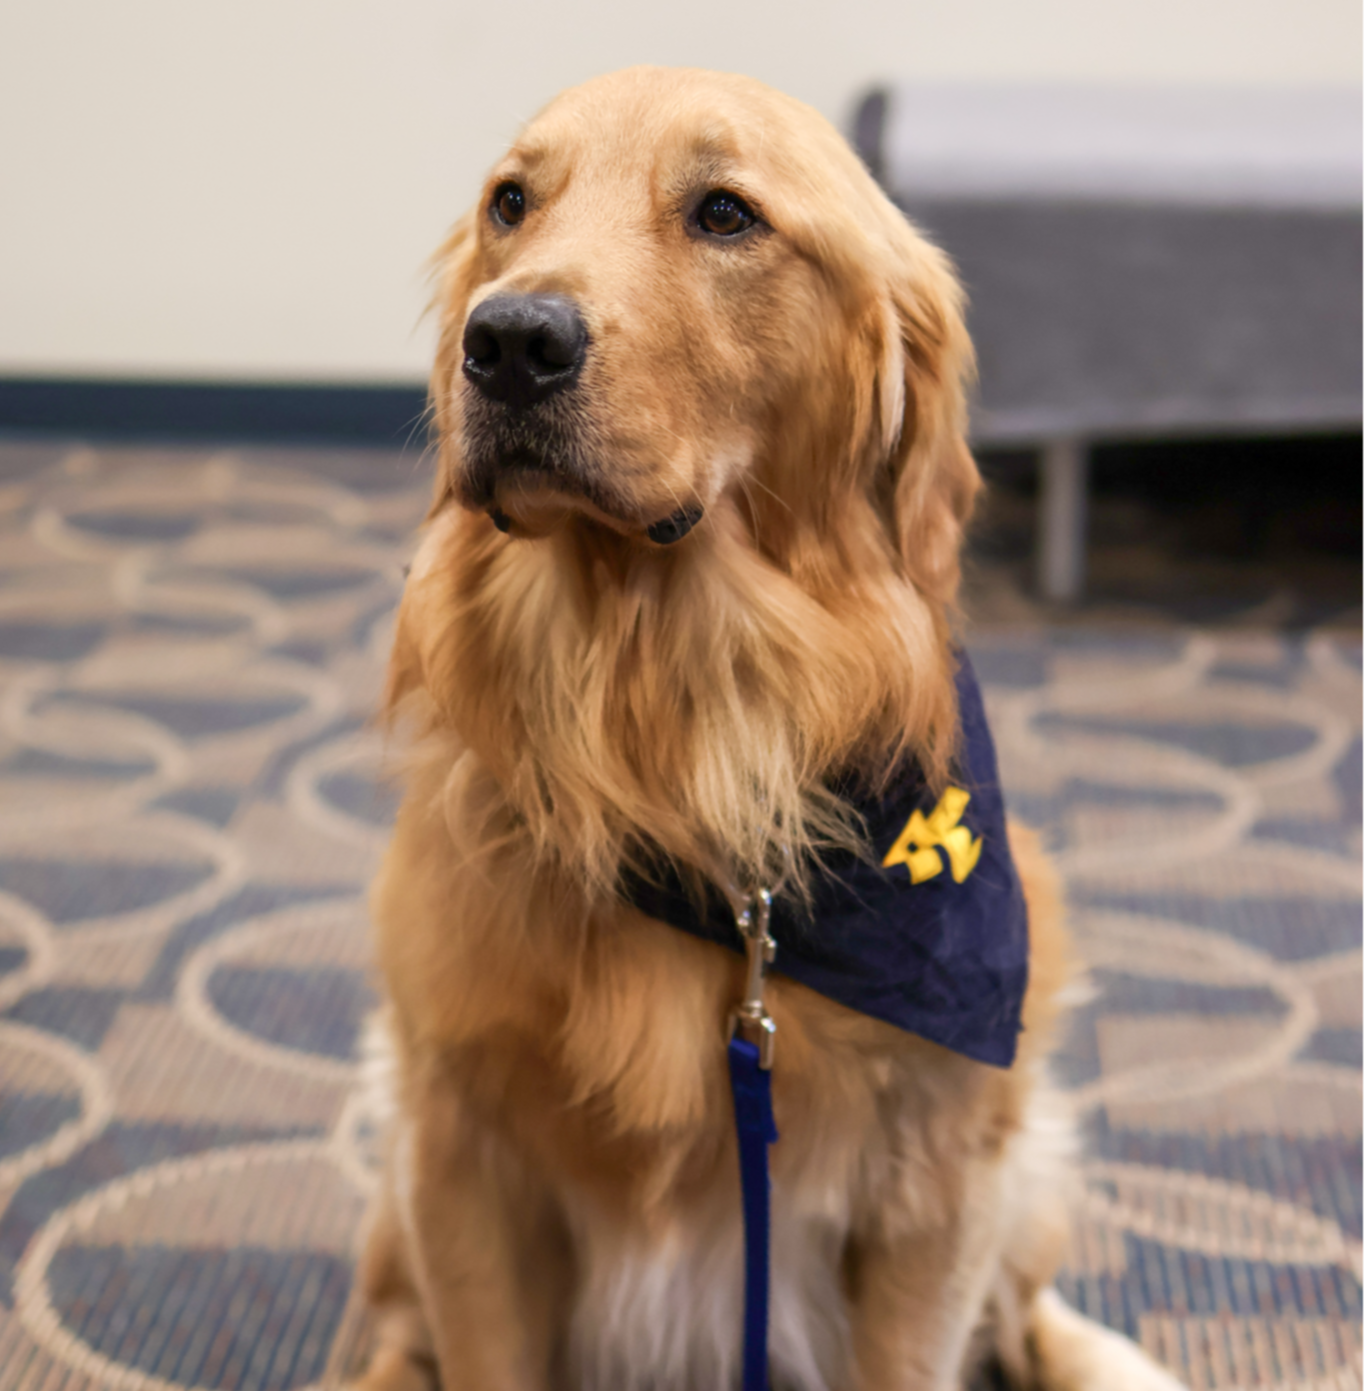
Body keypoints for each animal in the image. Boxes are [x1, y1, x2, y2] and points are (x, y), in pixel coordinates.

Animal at [349, 67, 1179, 1391]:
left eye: (726, 214)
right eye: (511, 202)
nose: (509, 340)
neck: (680, 740)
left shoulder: (939, 1174)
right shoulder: (456, 1144)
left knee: (1027, 1301)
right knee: (390, 1322)